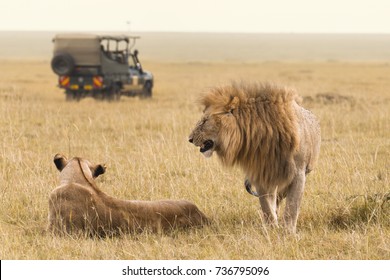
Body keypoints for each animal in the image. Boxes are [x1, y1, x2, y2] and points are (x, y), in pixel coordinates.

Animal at [189, 83, 320, 234]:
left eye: (205, 121)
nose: (190, 139)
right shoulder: (261, 173)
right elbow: (266, 206)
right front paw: (271, 229)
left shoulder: (298, 174)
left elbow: (292, 206)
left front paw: (289, 232)